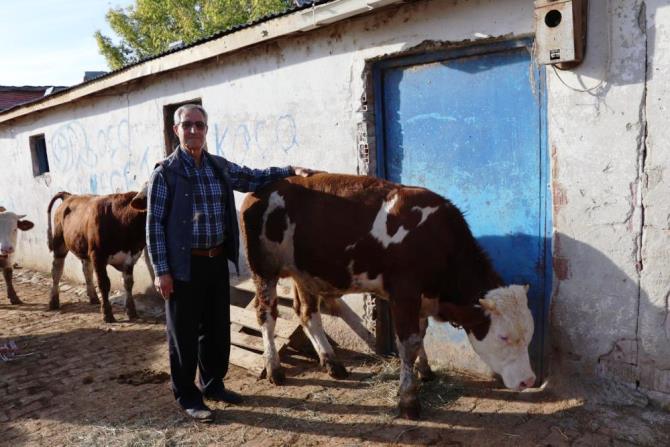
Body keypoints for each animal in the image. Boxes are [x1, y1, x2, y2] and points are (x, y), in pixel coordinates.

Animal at [46, 186, 149, 322]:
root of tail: (69, 196)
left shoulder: (130, 257)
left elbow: (128, 283)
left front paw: (131, 311)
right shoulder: (98, 256)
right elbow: (104, 283)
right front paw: (107, 314)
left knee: (86, 270)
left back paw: (93, 297)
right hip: (60, 244)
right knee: (56, 271)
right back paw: (53, 301)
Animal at [244, 174, 540, 420]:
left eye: (529, 335)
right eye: (503, 337)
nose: (528, 381)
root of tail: (265, 188)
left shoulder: (421, 299)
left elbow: (421, 333)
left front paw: (425, 371)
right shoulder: (404, 294)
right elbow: (408, 343)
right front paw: (408, 400)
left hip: (304, 273)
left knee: (307, 314)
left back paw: (332, 363)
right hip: (264, 268)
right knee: (266, 314)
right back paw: (274, 368)